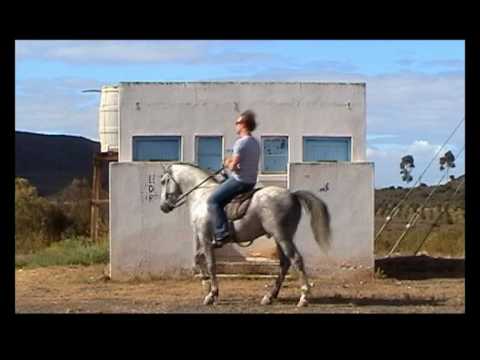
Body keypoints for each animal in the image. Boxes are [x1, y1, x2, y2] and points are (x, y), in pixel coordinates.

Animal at [158, 163, 330, 306]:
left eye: (164, 181)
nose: (163, 207)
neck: (201, 196)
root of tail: (293, 195)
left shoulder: (205, 238)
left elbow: (211, 264)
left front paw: (212, 294)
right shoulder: (209, 242)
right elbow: (197, 259)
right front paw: (205, 284)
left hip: (282, 237)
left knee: (296, 260)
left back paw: (303, 297)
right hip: (279, 238)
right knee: (285, 264)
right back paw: (270, 296)